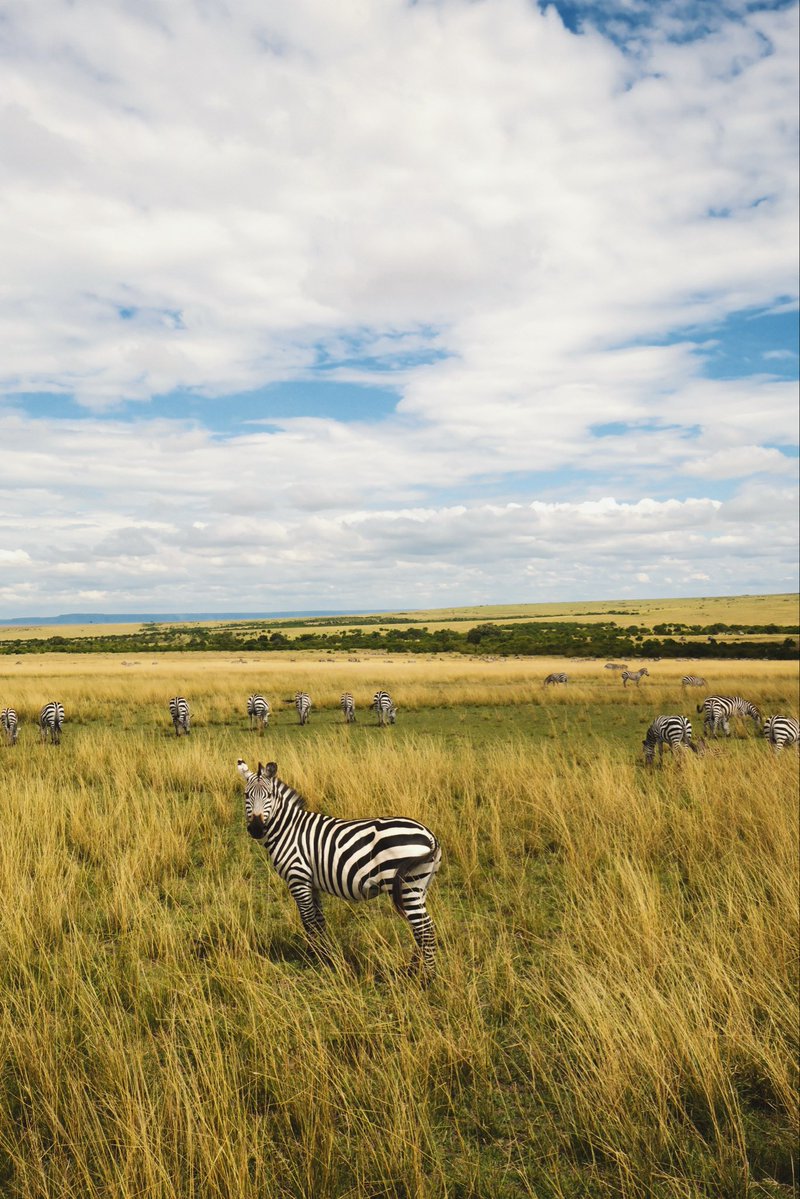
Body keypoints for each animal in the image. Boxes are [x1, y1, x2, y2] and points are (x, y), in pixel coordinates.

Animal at [237, 759, 441, 977]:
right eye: (246, 795)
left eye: (269, 795)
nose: (256, 829)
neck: (288, 830)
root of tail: (429, 835)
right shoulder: (311, 882)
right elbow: (319, 920)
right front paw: (324, 955)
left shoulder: (298, 878)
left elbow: (308, 920)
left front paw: (314, 958)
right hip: (419, 886)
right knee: (420, 928)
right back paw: (413, 969)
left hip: (407, 886)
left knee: (425, 929)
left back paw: (426, 977)